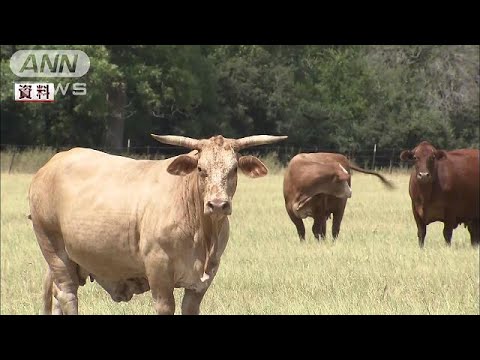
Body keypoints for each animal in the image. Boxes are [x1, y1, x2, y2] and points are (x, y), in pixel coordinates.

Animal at [30, 134, 286, 314]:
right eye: (200, 169)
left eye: (233, 169)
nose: (217, 204)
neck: (202, 235)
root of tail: (51, 164)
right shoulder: (159, 272)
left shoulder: (204, 278)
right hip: (52, 247)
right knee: (67, 294)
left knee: (57, 296)